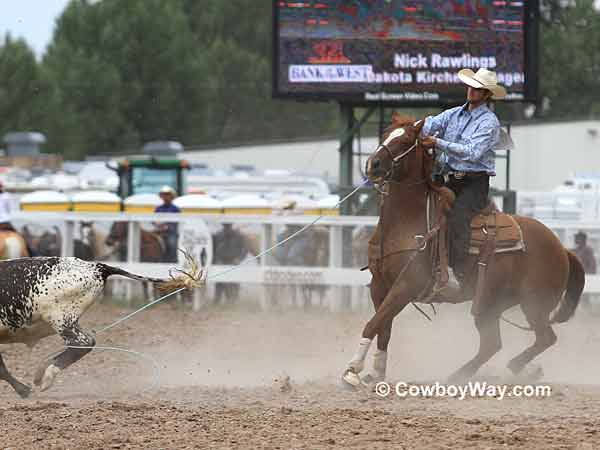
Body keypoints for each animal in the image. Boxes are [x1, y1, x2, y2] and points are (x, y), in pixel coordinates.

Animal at [344, 115, 584, 386]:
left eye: (404, 141)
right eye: (385, 135)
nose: (372, 164)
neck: (404, 222)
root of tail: (562, 249)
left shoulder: (406, 286)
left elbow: (373, 324)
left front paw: (352, 370)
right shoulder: (379, 285)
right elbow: (383, 328)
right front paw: (376, 372)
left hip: (534, 304)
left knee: (544, 337)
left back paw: (511, 368)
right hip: (490, 304)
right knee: (493, 344)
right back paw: (459, 375)